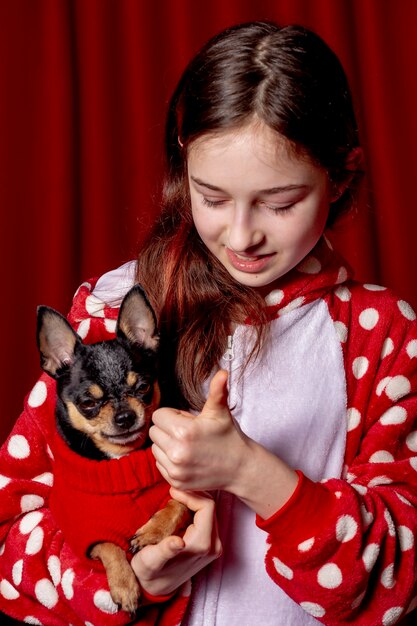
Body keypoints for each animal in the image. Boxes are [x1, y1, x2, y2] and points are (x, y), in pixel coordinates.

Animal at [36, 286, 191, 612]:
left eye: (143, 387)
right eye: (88, 402)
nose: (125, 416)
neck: (122, 461)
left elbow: (176, 504)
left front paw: (151, 533)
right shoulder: (83, 532)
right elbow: (107, 545)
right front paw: (124, 585)